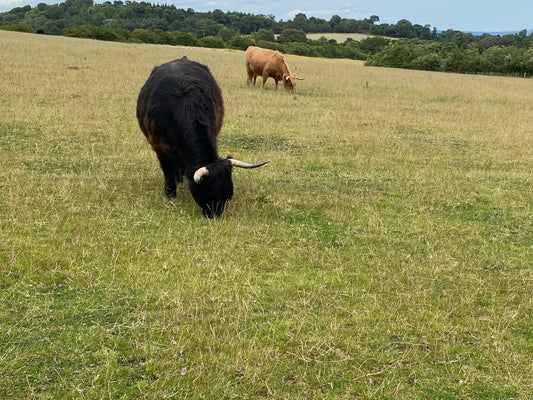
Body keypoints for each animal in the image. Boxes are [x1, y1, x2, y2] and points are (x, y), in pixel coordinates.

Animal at [136, 57, 266, 216]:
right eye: (206, 193)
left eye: (227, 195)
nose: (215, 215)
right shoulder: (160, 147)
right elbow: (168, 171)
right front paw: (170, 194)